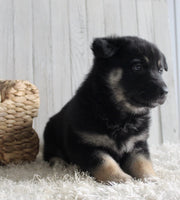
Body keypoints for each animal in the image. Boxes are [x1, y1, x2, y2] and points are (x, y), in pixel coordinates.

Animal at [43, 35, 167, 183]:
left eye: (160, 70)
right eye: (137, 67)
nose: (165, 92)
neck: (121, 116)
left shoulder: (138, 145)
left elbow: (142, 162)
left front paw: (151, 178)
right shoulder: (86, 146)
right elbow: (105, 162)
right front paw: (120, 178)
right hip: (50, 135)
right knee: (50, 154)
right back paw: (58, 163)